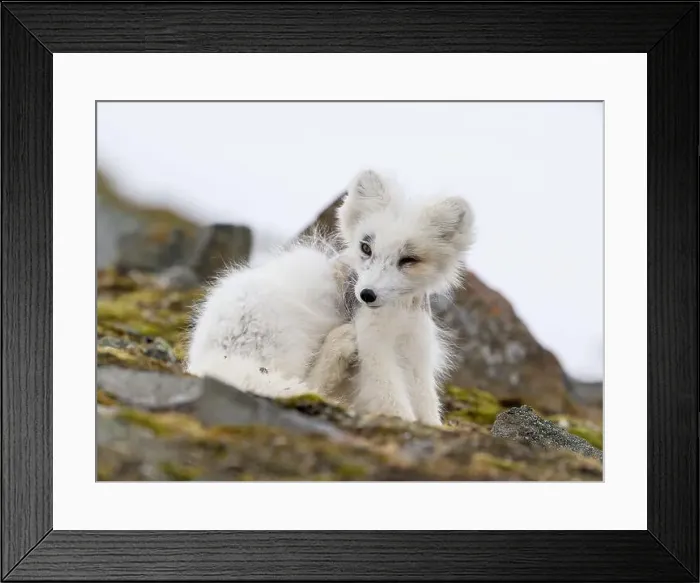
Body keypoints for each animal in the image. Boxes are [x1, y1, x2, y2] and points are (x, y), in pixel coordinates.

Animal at [186, 169, 475, 425]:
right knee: (308, 388)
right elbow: (391, 398)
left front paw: (432, 426)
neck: (397, 315)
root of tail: (211, 361)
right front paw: (404, 421)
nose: (366, 294)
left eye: (409, 260)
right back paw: (339, 343)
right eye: (366, 248)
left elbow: (426, 402)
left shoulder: (417, 348)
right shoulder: (373, 346)